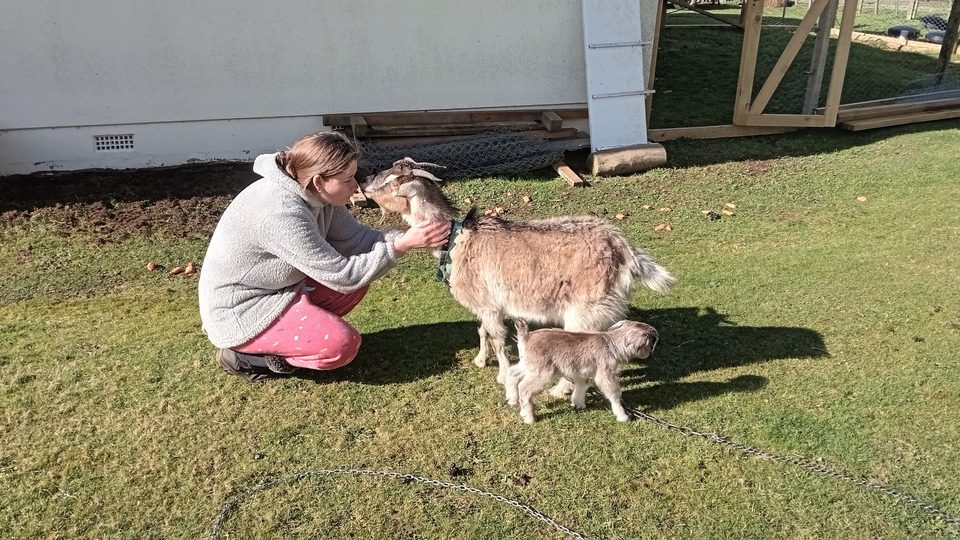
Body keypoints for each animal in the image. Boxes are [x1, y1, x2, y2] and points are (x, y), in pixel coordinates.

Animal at [360, 158, 676, 384]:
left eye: (390, 179)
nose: (363, 180)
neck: (457, 239)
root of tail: (624, 249)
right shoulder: (486, 303)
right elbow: (482, 330)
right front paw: (480, 359)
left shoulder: (488, 304)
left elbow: (498, 339)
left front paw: (502, 375)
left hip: (586, 308)